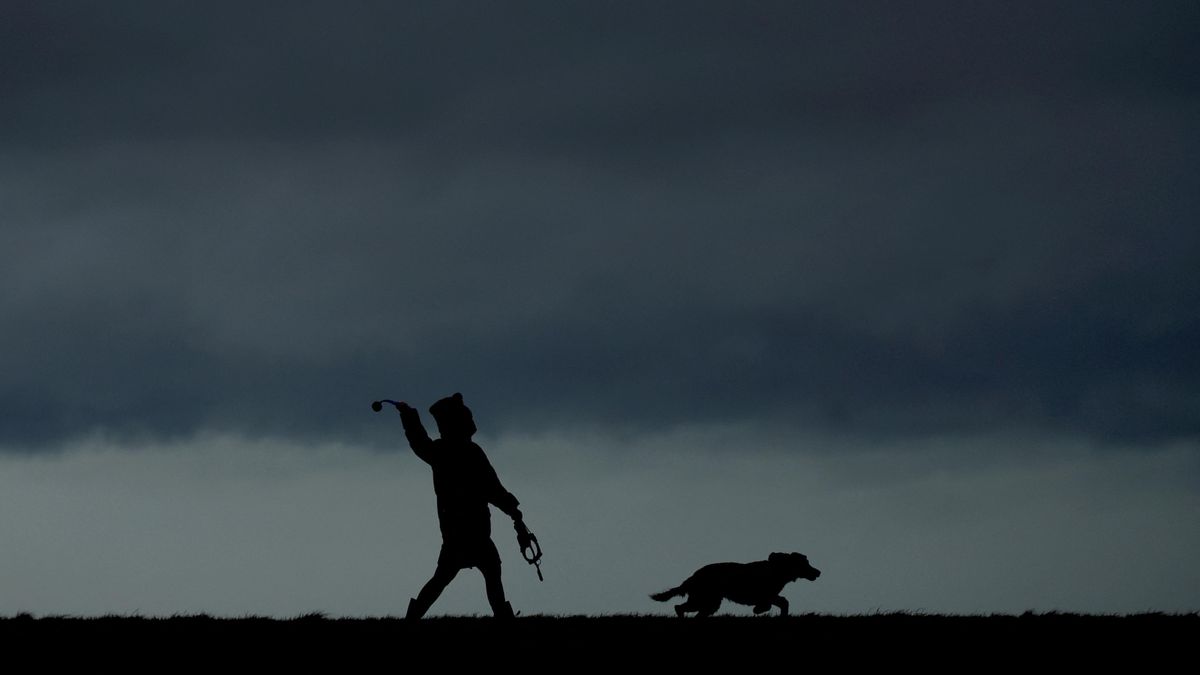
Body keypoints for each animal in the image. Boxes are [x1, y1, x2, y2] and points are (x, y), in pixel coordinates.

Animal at [652, 552, 820, 614]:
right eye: (805, 564)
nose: (818, 572)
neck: (776, 570)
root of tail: (693, 577)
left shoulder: (770, 595)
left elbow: (783, 602)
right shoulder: (766, 595)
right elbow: (773, 604)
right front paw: (758, 610)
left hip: (708, 603)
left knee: (684, 609)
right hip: (704, 600)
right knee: (679, 607)